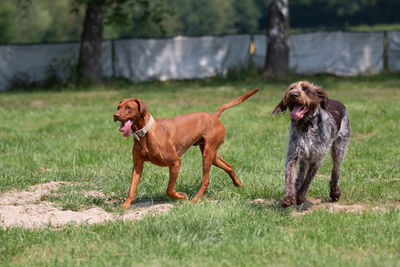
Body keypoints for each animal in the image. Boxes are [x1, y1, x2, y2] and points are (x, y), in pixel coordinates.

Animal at [114, 90, 258, 209]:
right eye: (118, 107)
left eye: (129, 108)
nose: (115, 115)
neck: (144, 134)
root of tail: (214, 116)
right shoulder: (137, 166)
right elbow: (131, 189)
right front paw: (124, 206)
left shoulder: (175, 162)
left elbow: (169, 190)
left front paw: (181, 196)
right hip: (212, 155)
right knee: (229, 166)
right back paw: (238, 184)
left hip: (207, 154)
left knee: (206, 180)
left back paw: (196, 199)